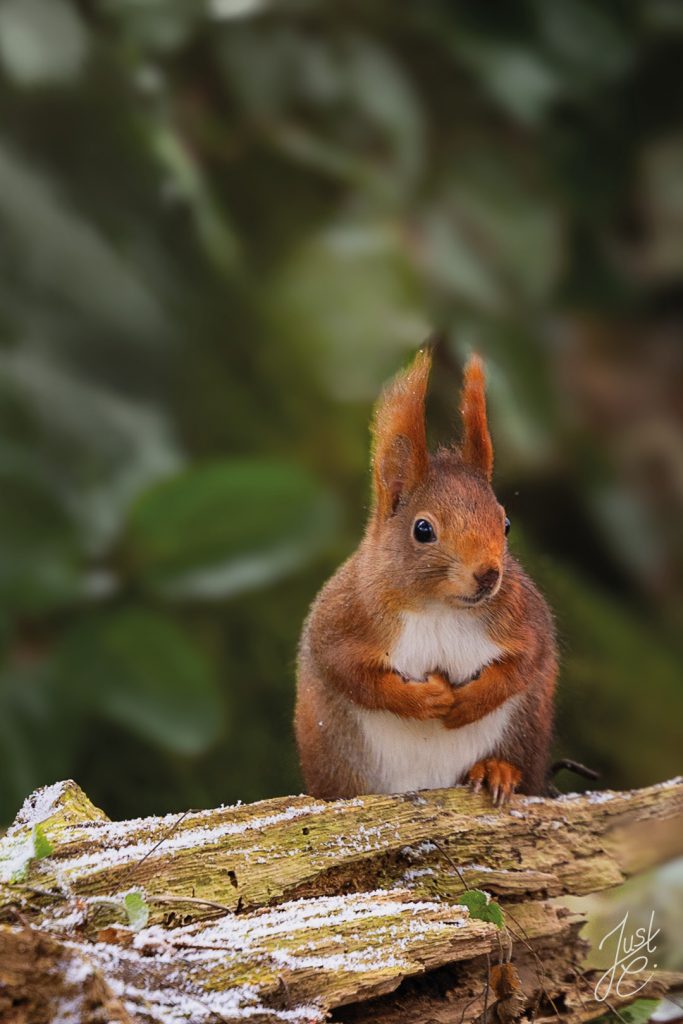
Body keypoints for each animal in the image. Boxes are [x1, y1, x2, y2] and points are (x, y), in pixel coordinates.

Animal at [295, 349, 557, 805]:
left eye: (505, 524)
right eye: (422, 530)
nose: (489, 575)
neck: (439, 607)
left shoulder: (524, 618)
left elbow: (525, 661)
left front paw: (469, 702)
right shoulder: (344, 617)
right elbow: (350, 673)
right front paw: (426, 699)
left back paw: (496, 771)